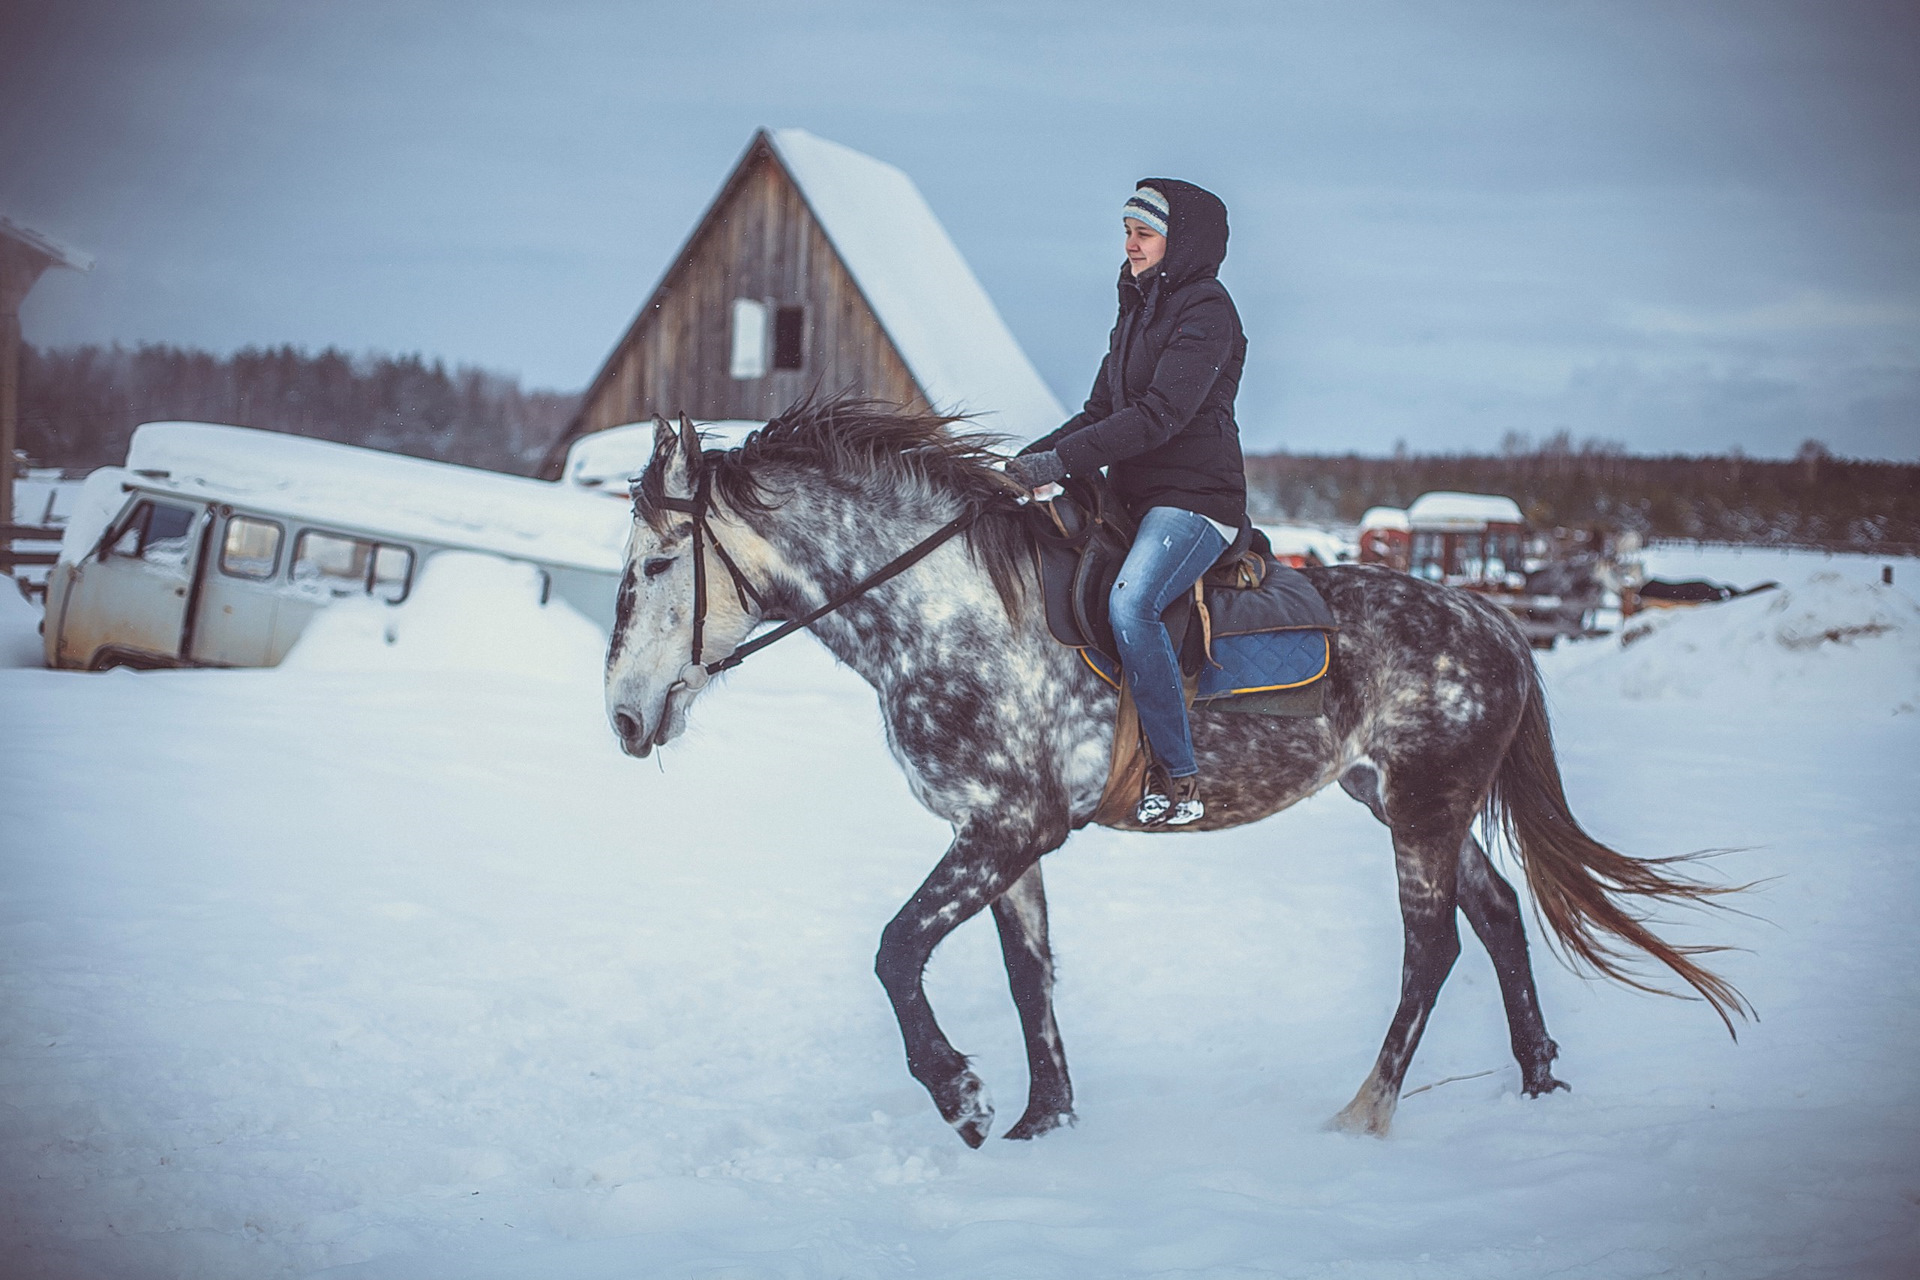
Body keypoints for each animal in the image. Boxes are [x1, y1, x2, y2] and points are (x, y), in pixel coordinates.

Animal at [606, 404, 1751, 1143]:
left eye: (656, 564)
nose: (621, 716)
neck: (949, 617)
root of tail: (1496, 621)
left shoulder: (1008, 827)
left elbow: (895, 953)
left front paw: (960, 1096)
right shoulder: (1000, 836)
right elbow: (1029, 974)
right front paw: (1044, 1120)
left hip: (1424, 810)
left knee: (1432, 949)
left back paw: (1365, 1113)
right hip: (1408, 801)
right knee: (1503, 912)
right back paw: (1539, 1082)